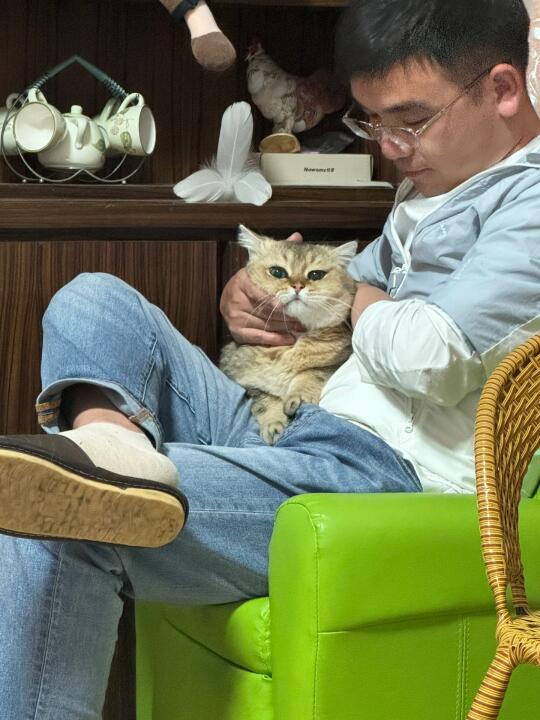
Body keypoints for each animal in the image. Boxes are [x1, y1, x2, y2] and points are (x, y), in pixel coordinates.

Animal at [219, 225, 358, 444]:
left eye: (316, 275)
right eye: (277, 272)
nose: (298, 286)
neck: (290, 347)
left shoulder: (336, 363)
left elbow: (311, 374)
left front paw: (298, 397)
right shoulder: (244, 379)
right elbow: (266, 400)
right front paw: (274, 424)